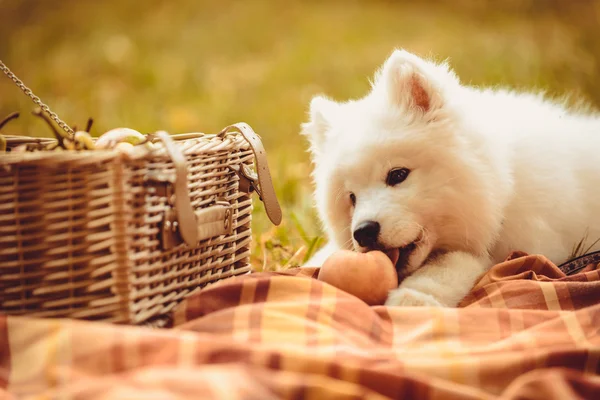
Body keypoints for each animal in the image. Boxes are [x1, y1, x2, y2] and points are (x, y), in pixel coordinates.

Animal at [302, 49, 600, 306]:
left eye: (398, 175)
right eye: (352, 198)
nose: (363, 232)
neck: (503, 184)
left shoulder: (521, 246)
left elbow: (453, 262)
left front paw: (413, 297)